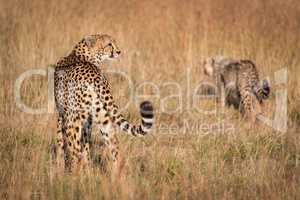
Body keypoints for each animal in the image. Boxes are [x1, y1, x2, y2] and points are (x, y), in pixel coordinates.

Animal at [53, 34, 155, 170]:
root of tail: (94, 76)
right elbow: (85, 146)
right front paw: (88, 169)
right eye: (109, 44)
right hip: (102, 117)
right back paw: (116, 174)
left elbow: (60, 142)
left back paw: (73, 173)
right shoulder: (87, 120)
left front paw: (59, 167)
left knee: (75, 150)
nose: (118, 52)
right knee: (114, 147)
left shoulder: (62, 114)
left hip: (73, 120)